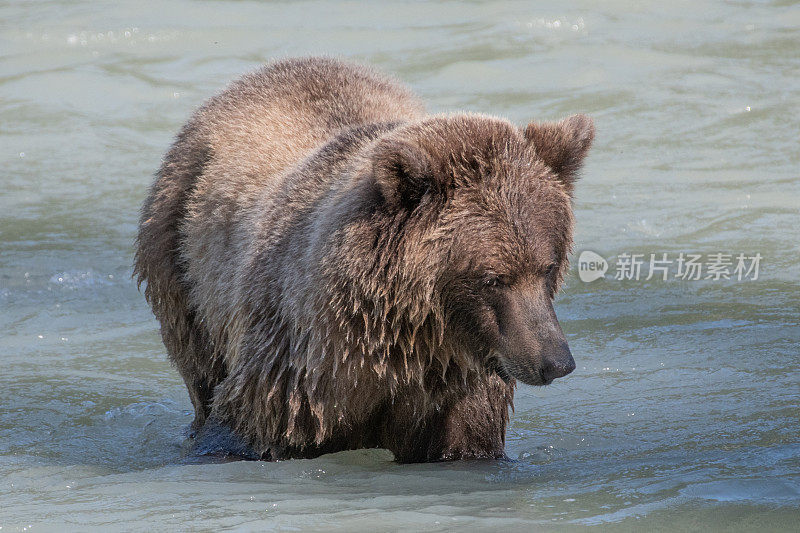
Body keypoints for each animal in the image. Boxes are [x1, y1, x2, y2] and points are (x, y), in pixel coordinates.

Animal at [134, 55, 592, 462]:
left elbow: (466, 442)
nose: (556, 361)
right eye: (494, 278)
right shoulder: (295, 374)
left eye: (547, 267)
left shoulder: (458, 386)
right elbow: (243, 428)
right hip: (182, 264)